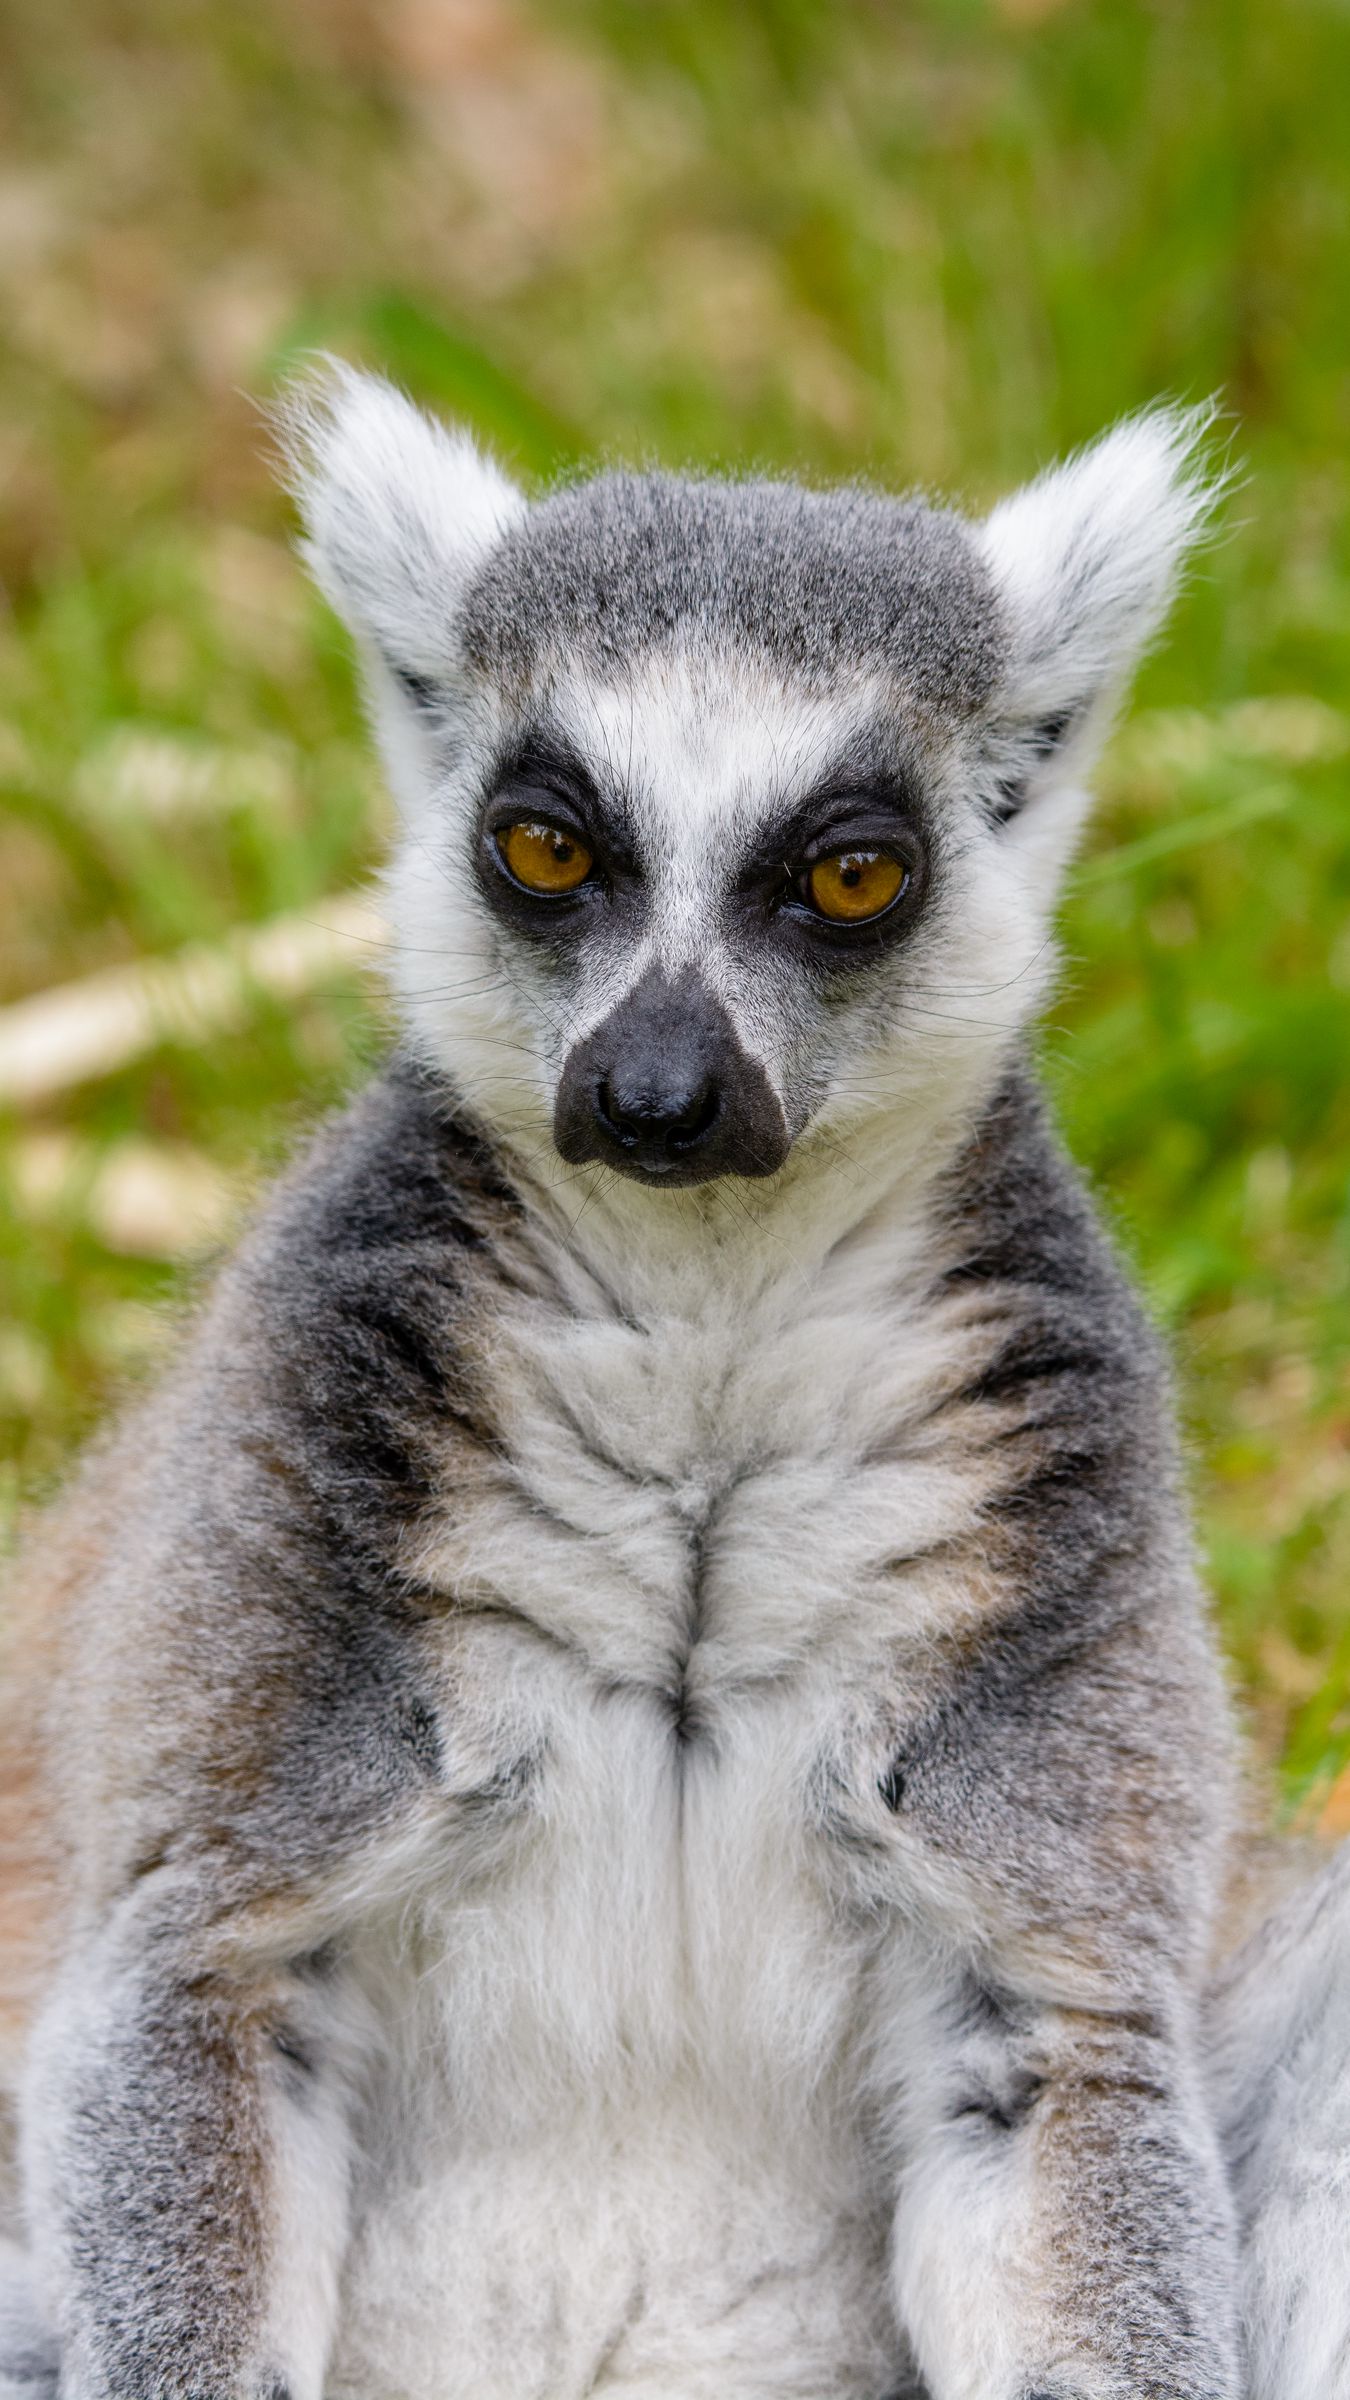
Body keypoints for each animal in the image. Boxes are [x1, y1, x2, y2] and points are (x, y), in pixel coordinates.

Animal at [0, 366, 1345, 2400]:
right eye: (548, 847)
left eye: (852, 872)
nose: (653, 1094)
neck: (704, 1333)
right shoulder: (276, 1581)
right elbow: (194, 1981)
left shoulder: (1046, 1636)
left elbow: (1056, 2056)